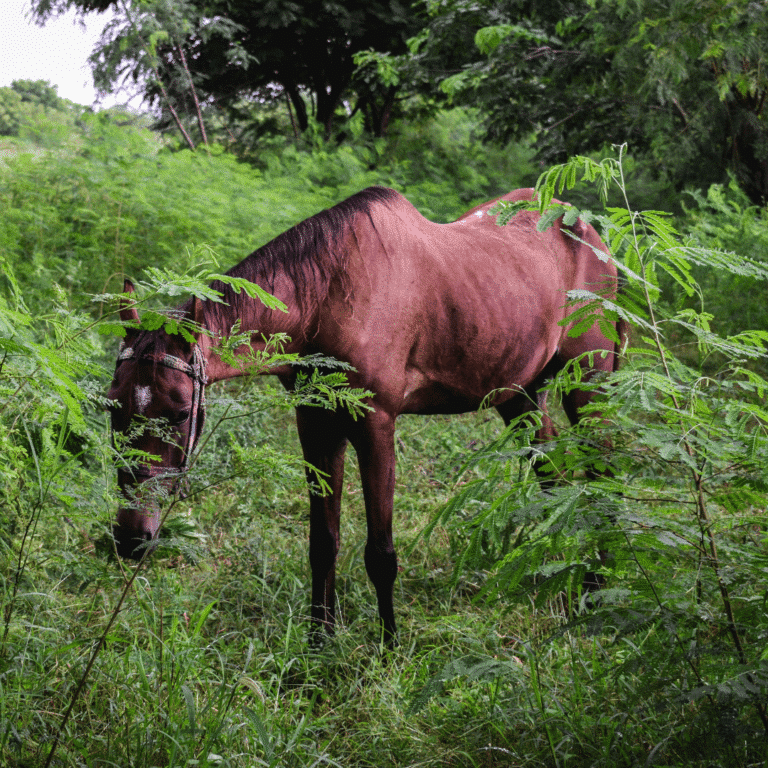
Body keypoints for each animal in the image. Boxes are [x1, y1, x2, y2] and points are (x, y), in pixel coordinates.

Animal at [109, 186, 624, 640]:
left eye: (179, 413)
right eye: (112, 407)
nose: (132, 537)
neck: (330, 297)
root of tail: (587, 230)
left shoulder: (375, 425)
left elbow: (380, 553)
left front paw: (389, 646)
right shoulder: (316, 424)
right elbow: (323, 542)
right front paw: (319, 644)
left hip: (588, 381)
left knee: (602, 471)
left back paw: (598, 585)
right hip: (520, 394)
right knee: (555, 478)